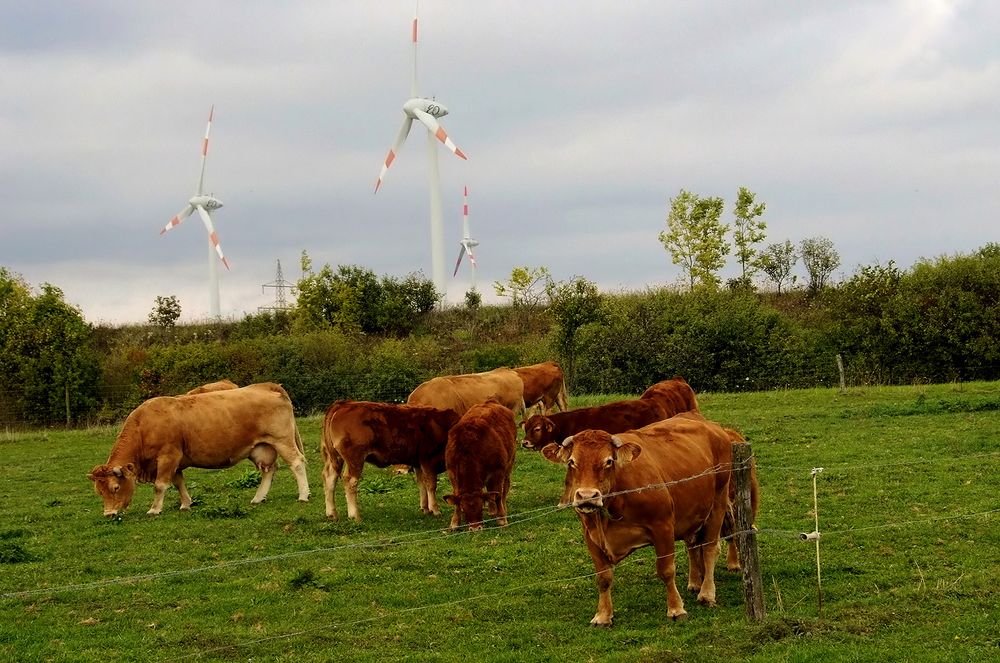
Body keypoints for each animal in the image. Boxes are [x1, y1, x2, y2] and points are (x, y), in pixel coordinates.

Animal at [88, 384, 310, 520]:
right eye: (99, 491)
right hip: (260, 448)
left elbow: (160, 485)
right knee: (268, 470)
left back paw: (303, 495)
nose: (109, 514)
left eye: (115, 487)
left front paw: (154, 509)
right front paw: (186, 504)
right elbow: (178, 482)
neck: (144, 426)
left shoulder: (168, 456)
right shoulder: (175, 461)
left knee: (297, 463)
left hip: (282, 440)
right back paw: (258, 498)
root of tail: (266, 386)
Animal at [320, 402, 460, 520]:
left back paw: (331, 513)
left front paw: (425, 508)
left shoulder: (417, 462)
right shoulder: (428, 460)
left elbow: (421, 484)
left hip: (336, 458)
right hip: (355, 458)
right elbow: (431, 485)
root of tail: (344, 404)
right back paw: (355, 515)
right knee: (350, 481)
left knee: (330, 478)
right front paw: (435, 510)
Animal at [444, 396, 516, 532]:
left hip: (509, 463)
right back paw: (492, 510)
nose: (475, 528)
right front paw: (454, 522)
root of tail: (491, 401)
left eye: (481, 507)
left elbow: (498, 495)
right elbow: (456, 497)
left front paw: (502, 519)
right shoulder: (452, 473)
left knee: (504, 489)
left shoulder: (498, 471)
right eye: (463, 509)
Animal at [544, 420, 732, 628]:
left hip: (718, 501)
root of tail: (712, 426)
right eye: (572, 461)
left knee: (709, 548)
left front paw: (676, 609)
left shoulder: (663, 526)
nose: (587, 496)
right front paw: (603, 615)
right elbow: (603, 577)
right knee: (693, 545)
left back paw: (706, 593)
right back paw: (695, 583)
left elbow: (666, 570)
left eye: (608, 461)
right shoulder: (590, 535)